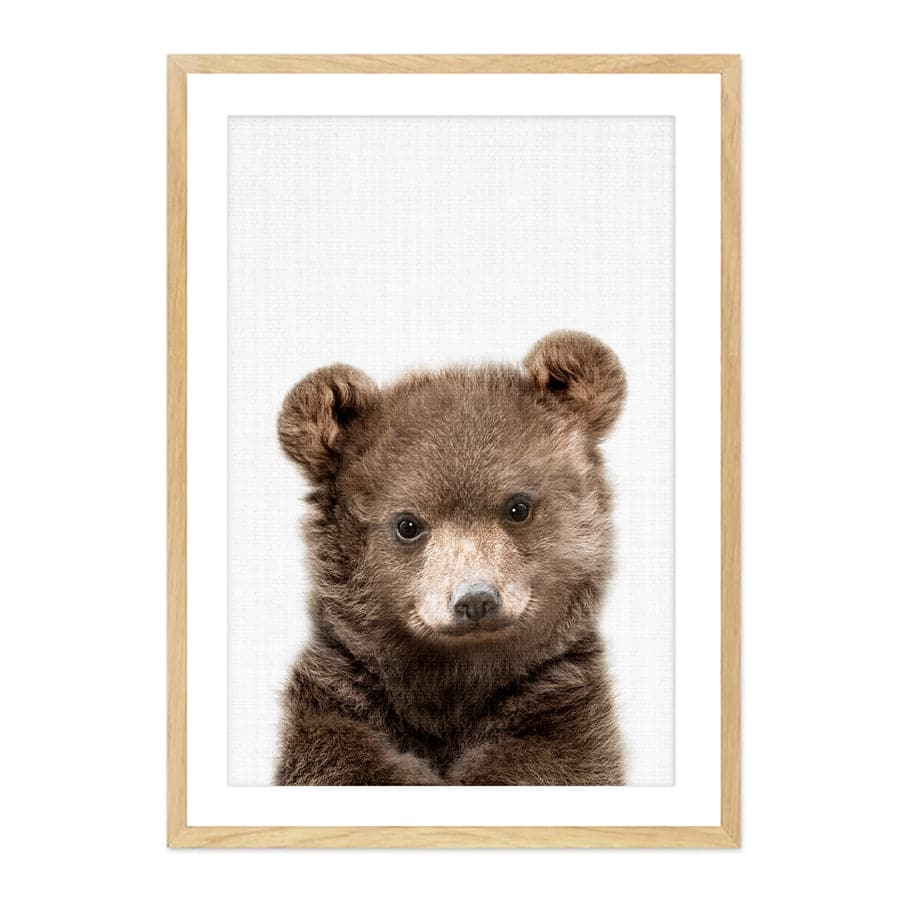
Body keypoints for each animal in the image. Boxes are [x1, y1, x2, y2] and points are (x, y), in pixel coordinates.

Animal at [273, 330, 627, 785]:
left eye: (518, 507)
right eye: (407, 524)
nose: (475, 599)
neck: (454, 682)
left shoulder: (561, 709)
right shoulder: (341, 703)